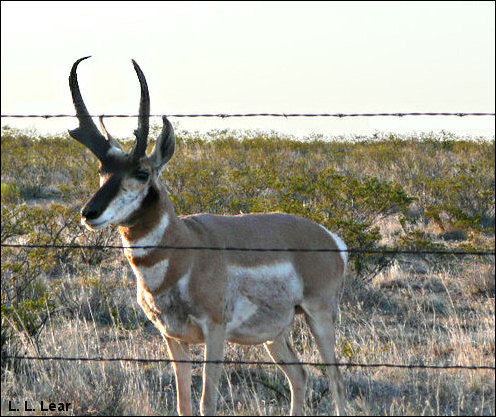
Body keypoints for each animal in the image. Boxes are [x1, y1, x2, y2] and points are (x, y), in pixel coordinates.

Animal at [70, 56, 346, 416]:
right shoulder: (173, 337)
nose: (90, 213)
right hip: (274, 334)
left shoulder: (214, 331)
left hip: (319, 316)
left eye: (141, 172)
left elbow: (206, 402)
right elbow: (183, 404)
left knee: (336, 381)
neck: (183, 249)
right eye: (103, 170)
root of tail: (328, 237)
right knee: (299, 376)